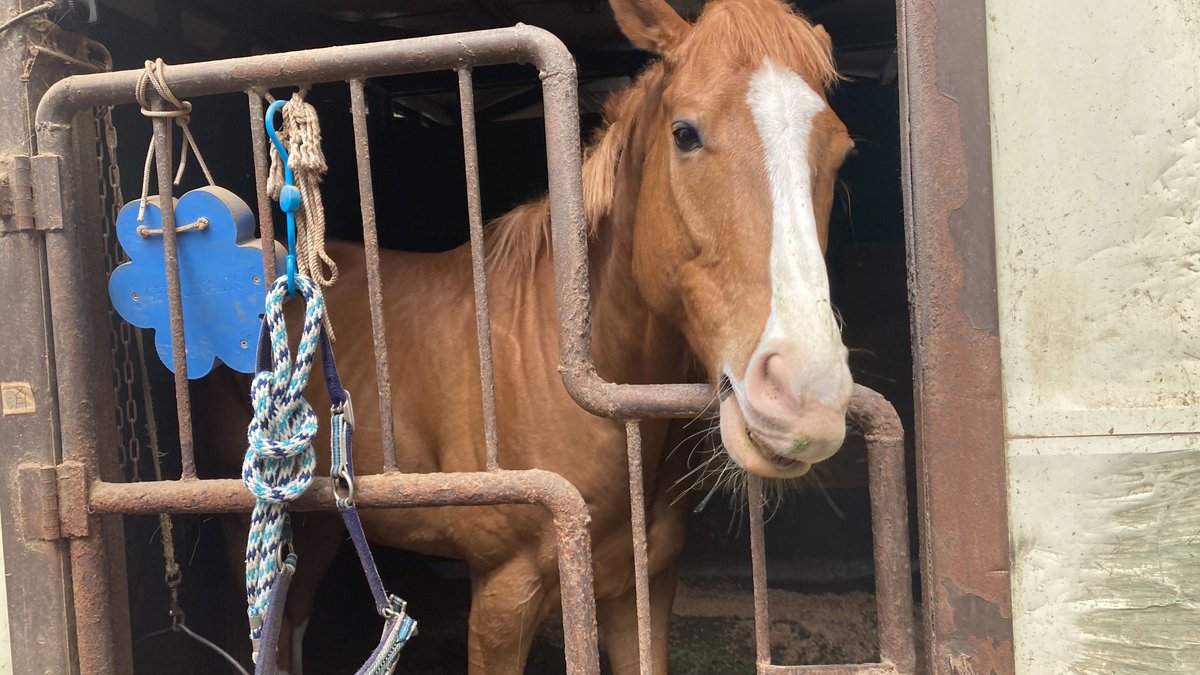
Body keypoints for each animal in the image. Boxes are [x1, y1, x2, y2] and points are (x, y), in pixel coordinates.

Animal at [195, 0, 853, 671]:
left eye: (841, 150)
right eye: (685, 133)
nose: (806, 396)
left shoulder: (641, 587)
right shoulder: (504, 594)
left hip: (324, 520)